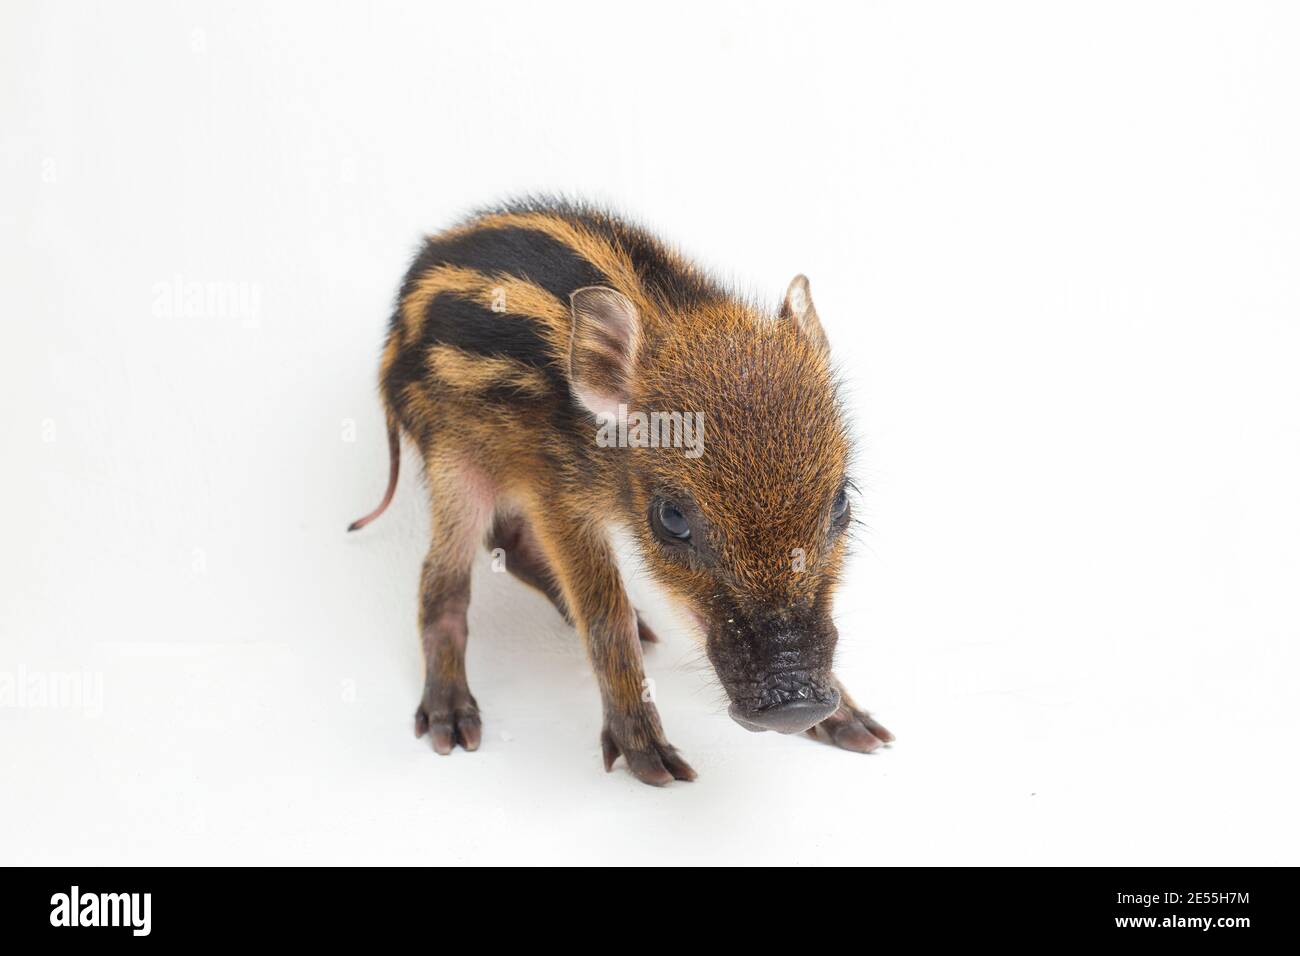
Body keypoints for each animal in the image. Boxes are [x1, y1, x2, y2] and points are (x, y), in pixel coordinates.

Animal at [349, 198, 893, 785]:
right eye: (672, 518)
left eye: (840, 503)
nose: (797, 704)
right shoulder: (556, 494)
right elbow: (603, 616)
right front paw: (651, 759)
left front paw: (859, 728)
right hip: (455, 458)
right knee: (443, 578)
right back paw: (450, 721)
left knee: (507, 542)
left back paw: (645, 625)